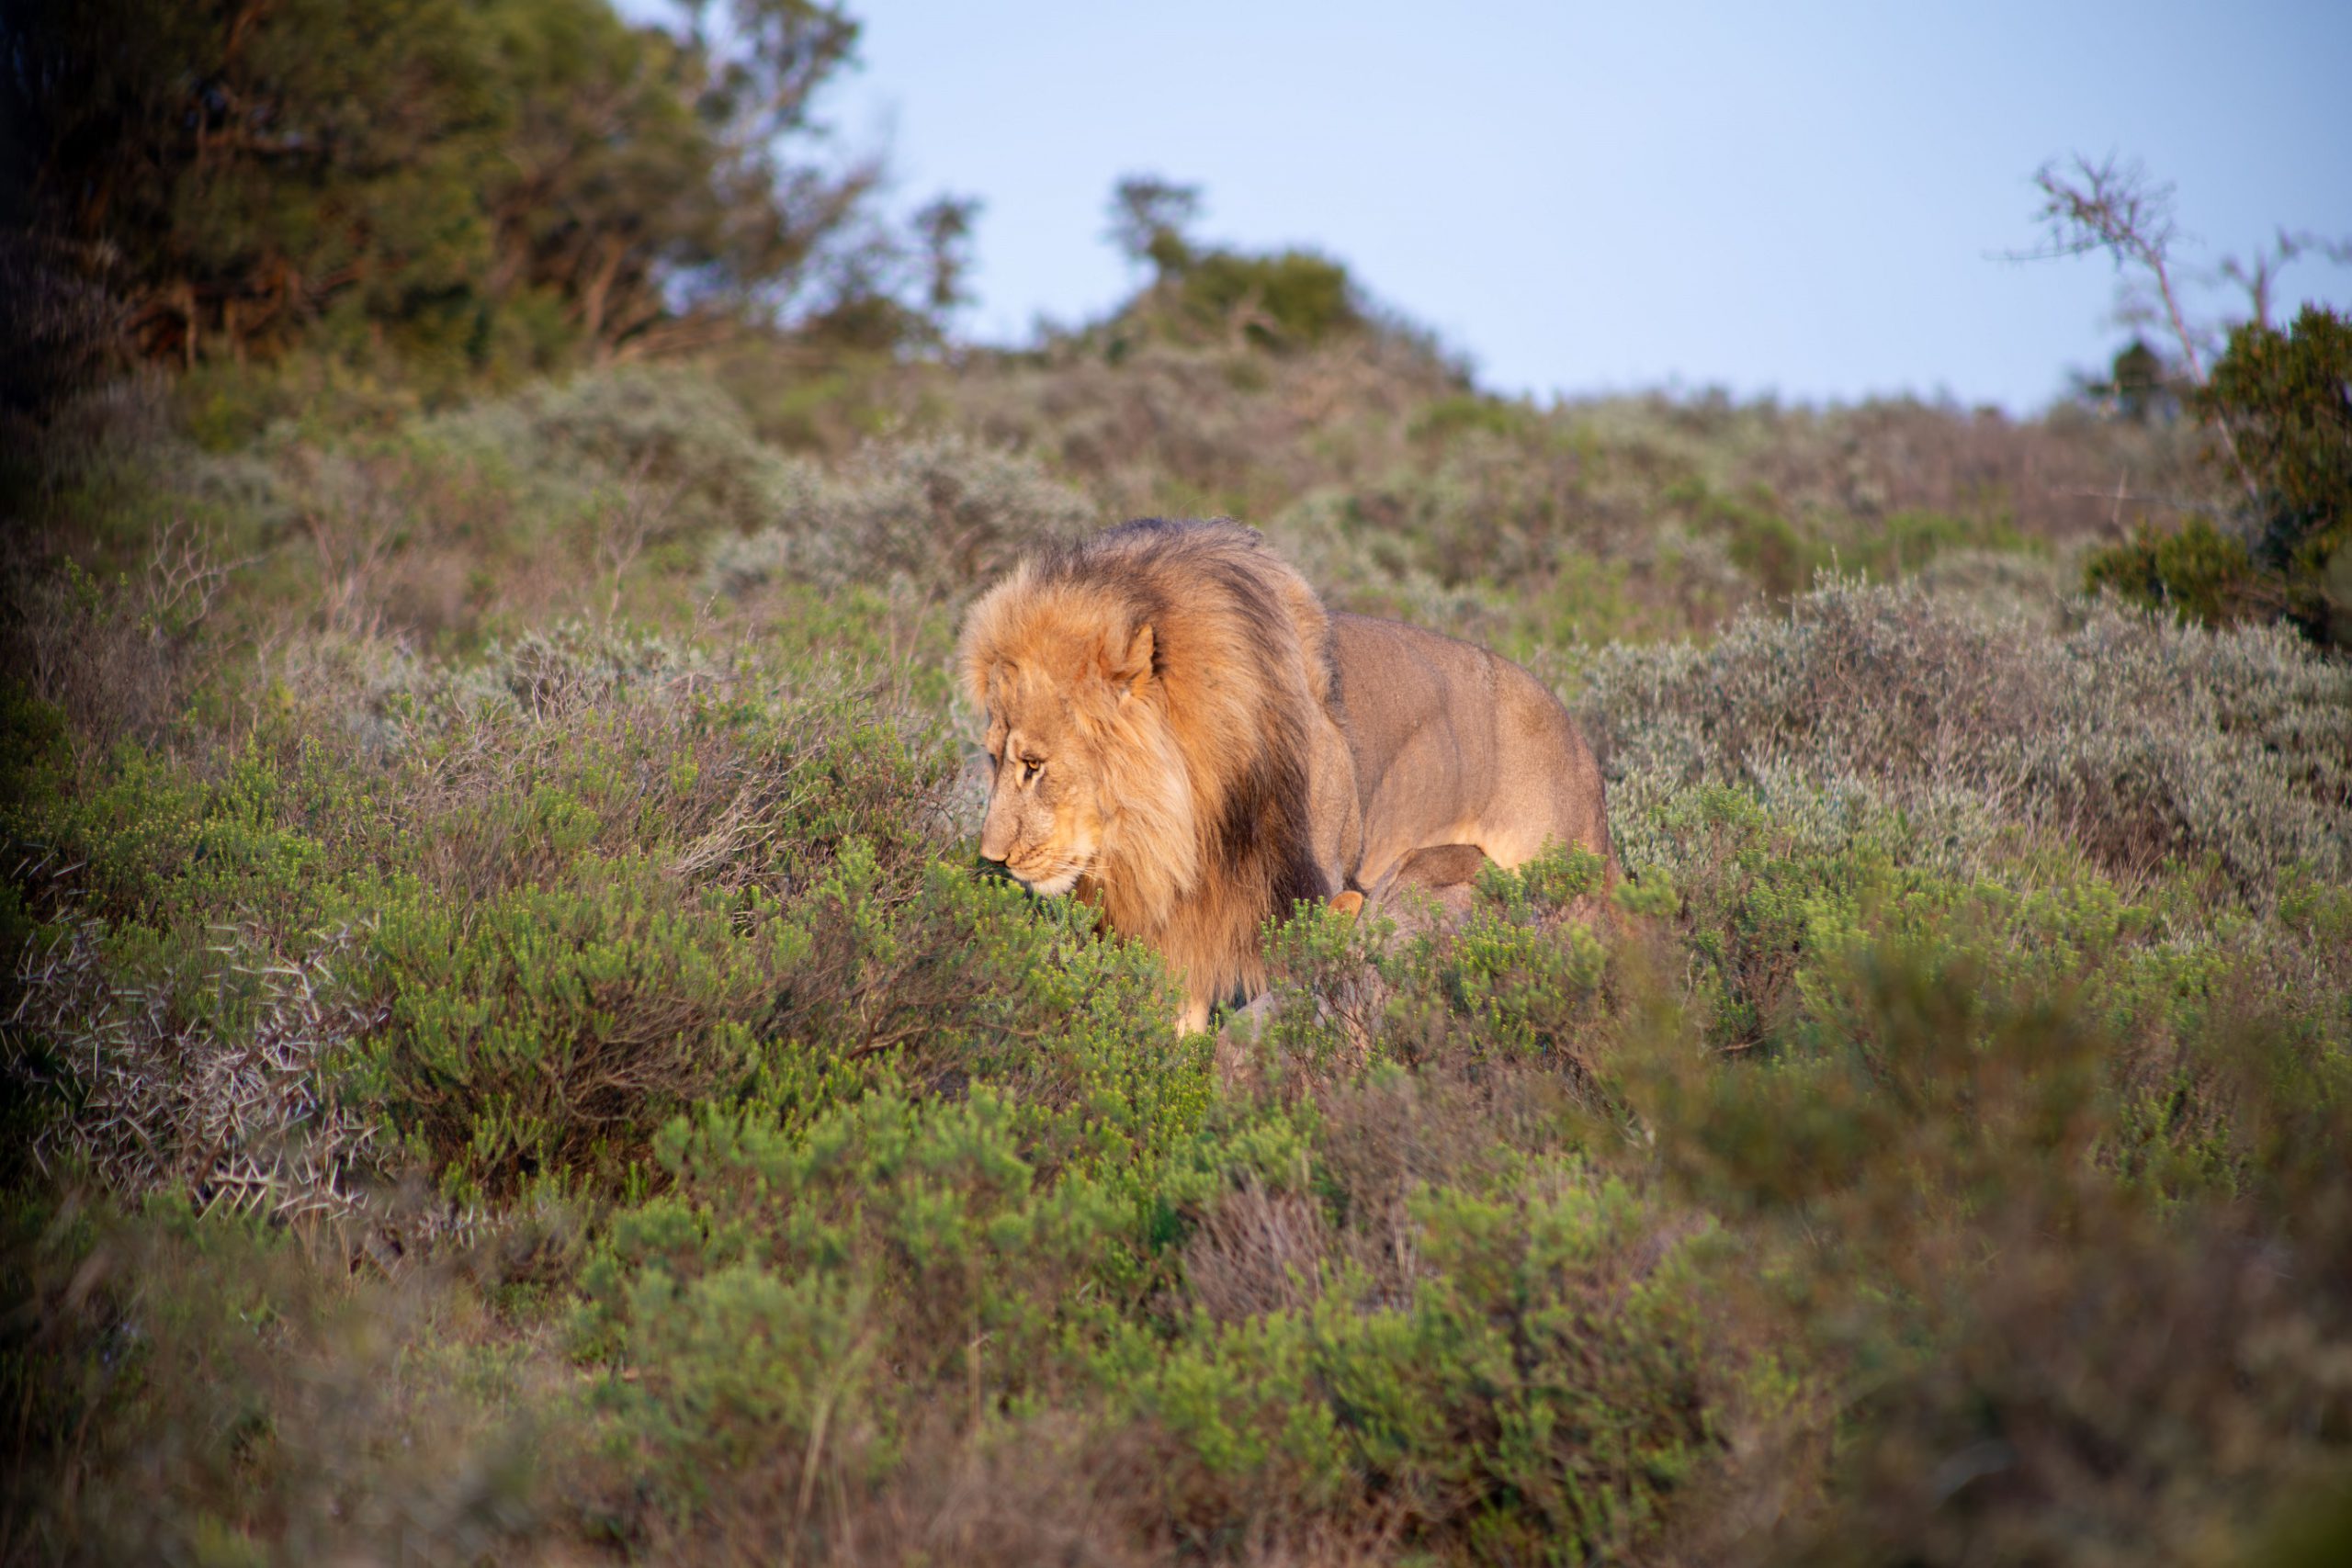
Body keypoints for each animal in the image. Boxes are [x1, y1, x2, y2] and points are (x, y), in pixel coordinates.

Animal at [955, 517, 1599, 1029]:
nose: (992, 860)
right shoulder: (1179, 928)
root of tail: (1582, 746)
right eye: (993, 759)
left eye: (1034, 766)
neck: (1187, 826)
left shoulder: (1305, 896)